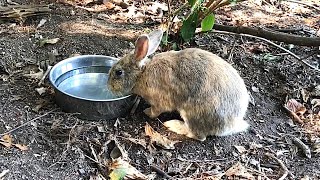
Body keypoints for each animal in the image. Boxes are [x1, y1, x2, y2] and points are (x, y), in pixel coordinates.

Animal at [107, 29, 250, 141]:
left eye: (118, 72)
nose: (108, 86)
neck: (142, 74)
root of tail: (231, 124)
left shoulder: (159, 101)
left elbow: (155, 110)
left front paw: (147, 112)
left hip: (193, 114)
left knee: (198, 135)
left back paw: (173, 125)